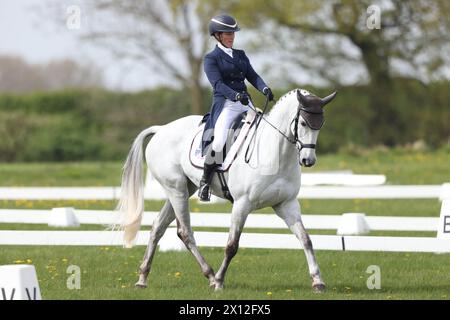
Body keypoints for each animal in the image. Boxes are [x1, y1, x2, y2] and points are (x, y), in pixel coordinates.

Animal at [118, 87, 336, 292]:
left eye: (321, 124)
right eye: (303, 123)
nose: (308, 160)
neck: (274, 154)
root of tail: (161, 129)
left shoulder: (287, 204)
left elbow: (306, 239)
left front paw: (318, 282)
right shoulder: (242, 204)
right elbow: (232, 246)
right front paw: (220, 282)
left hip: (184, 189)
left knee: (158, 227)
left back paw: (142, 278)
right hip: (176, 189)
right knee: (185, 232)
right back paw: (211, 276)